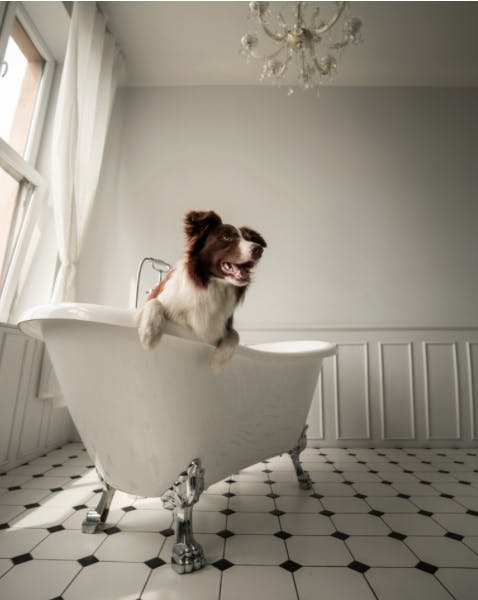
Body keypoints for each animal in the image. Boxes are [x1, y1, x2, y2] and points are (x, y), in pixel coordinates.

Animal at [136, 209, 268, 372]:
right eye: (227, 237)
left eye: (249, 239)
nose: (259, 249)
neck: (212, 286)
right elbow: (155, 302)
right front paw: (149, 335)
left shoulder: (224, 324)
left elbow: (235, 334)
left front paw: (218, 362)